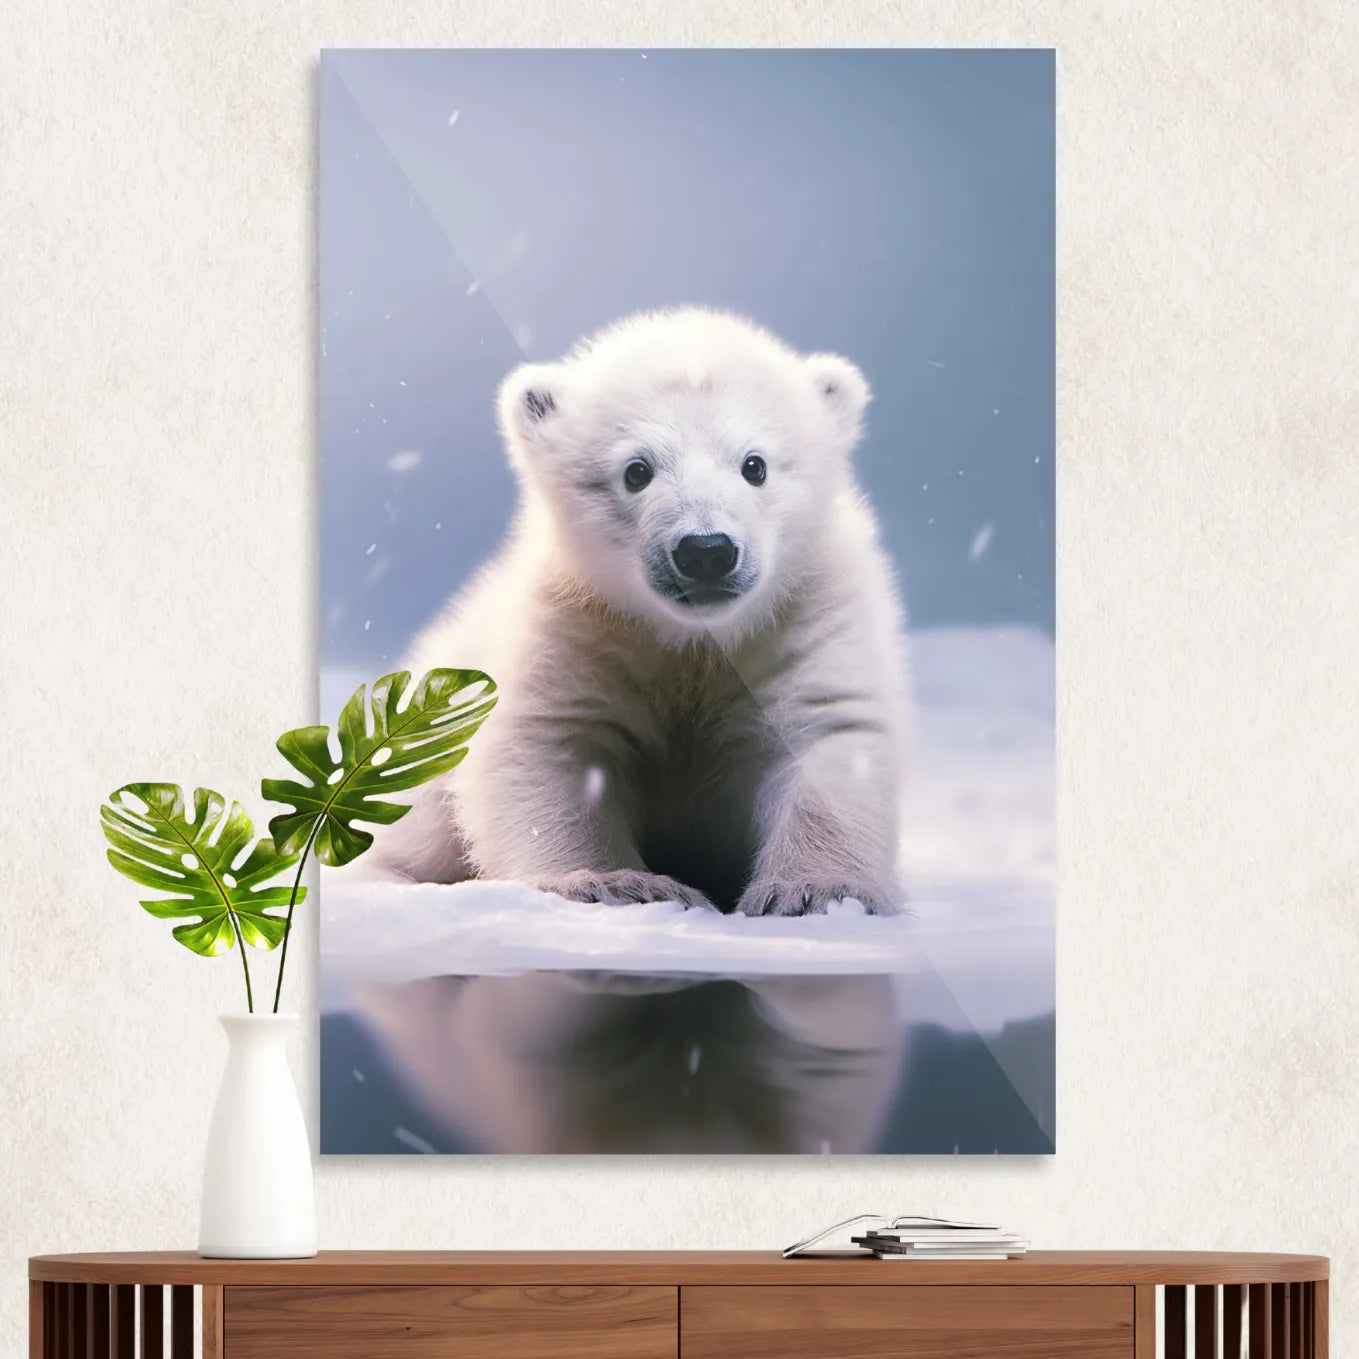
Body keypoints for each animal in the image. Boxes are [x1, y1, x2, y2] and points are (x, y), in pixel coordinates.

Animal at [367, 307, 910, 916]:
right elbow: (551, 743)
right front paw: (621, 883)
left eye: (755, 465)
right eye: (636, 470)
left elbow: (828, 727)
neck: (694, 640)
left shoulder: (806, 610)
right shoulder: (574, 623)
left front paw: (817, 893)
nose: (705, 551)